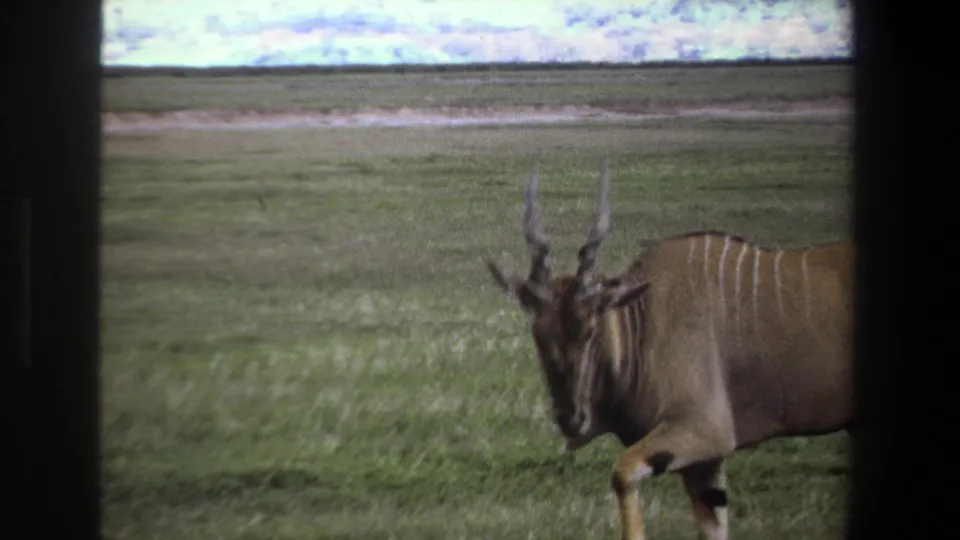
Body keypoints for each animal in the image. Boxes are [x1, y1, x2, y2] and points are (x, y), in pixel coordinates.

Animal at [486, 160, 853, 540]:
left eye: (591, 330)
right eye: (538, 334)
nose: (571, 419)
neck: (643, 321)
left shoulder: (703, 430)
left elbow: (622, 475)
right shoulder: (705, 462)